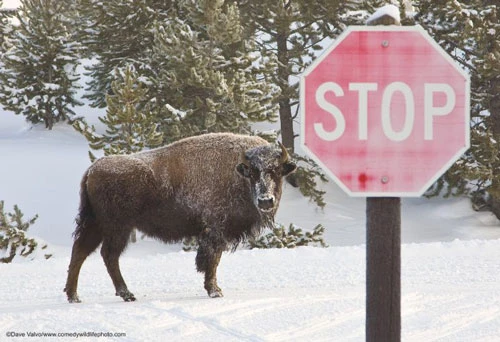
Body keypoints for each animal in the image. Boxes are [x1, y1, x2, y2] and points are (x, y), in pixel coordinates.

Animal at [64, 132, 294, 302]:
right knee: (108, 255)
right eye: (253, 172)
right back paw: (126, 294)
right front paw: (215, 291)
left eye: (276, 171)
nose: (265, 200)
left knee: (81, 251)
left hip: (97, 224)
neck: (237, 174)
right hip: (117, 227)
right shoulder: (216, 231)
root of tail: (92, 170)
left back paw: (74, 296)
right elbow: (212, 260)